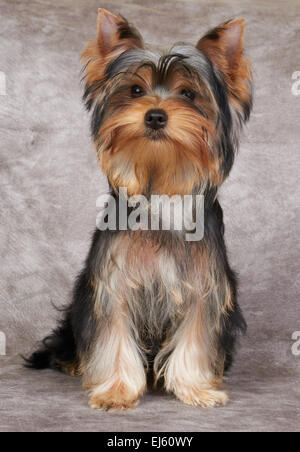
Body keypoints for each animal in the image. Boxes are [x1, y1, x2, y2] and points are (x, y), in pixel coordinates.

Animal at [25, 7, 252, 410]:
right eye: (135, 91)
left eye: (188, 94)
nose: (156, 115)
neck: (159, 186)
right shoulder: (113, 284)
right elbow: (113, 335)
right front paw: (115, 391)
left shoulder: (204, 285)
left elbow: (195, 336)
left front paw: (196, 388)